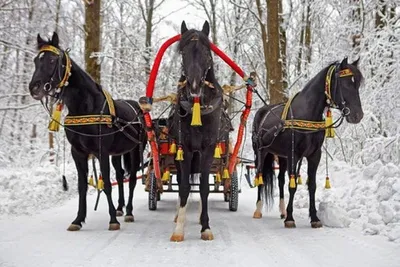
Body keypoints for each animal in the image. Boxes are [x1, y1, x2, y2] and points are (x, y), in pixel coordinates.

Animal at [168, 21, 225, 243]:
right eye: (183, 53)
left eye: (207, 53)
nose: (194, 86)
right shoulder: (184, 149)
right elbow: (184, 186)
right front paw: (178, 230)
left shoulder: (208, 149)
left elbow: (204, 187)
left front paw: (205, 226)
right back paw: (178, 215)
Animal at [253, 58, 362, 228]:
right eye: (344, 84)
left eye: (357, 84)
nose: (358, 115)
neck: (307, 114)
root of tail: (262, 111)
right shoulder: (294, 154)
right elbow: (293, 186)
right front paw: (290, 218)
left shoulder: (314, 155)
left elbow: (312, 185)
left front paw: (314, 218)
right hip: (260, 152)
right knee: (259, 176)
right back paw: (258, 210)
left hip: (282, 156)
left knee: (280, 180)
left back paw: (282, 211)